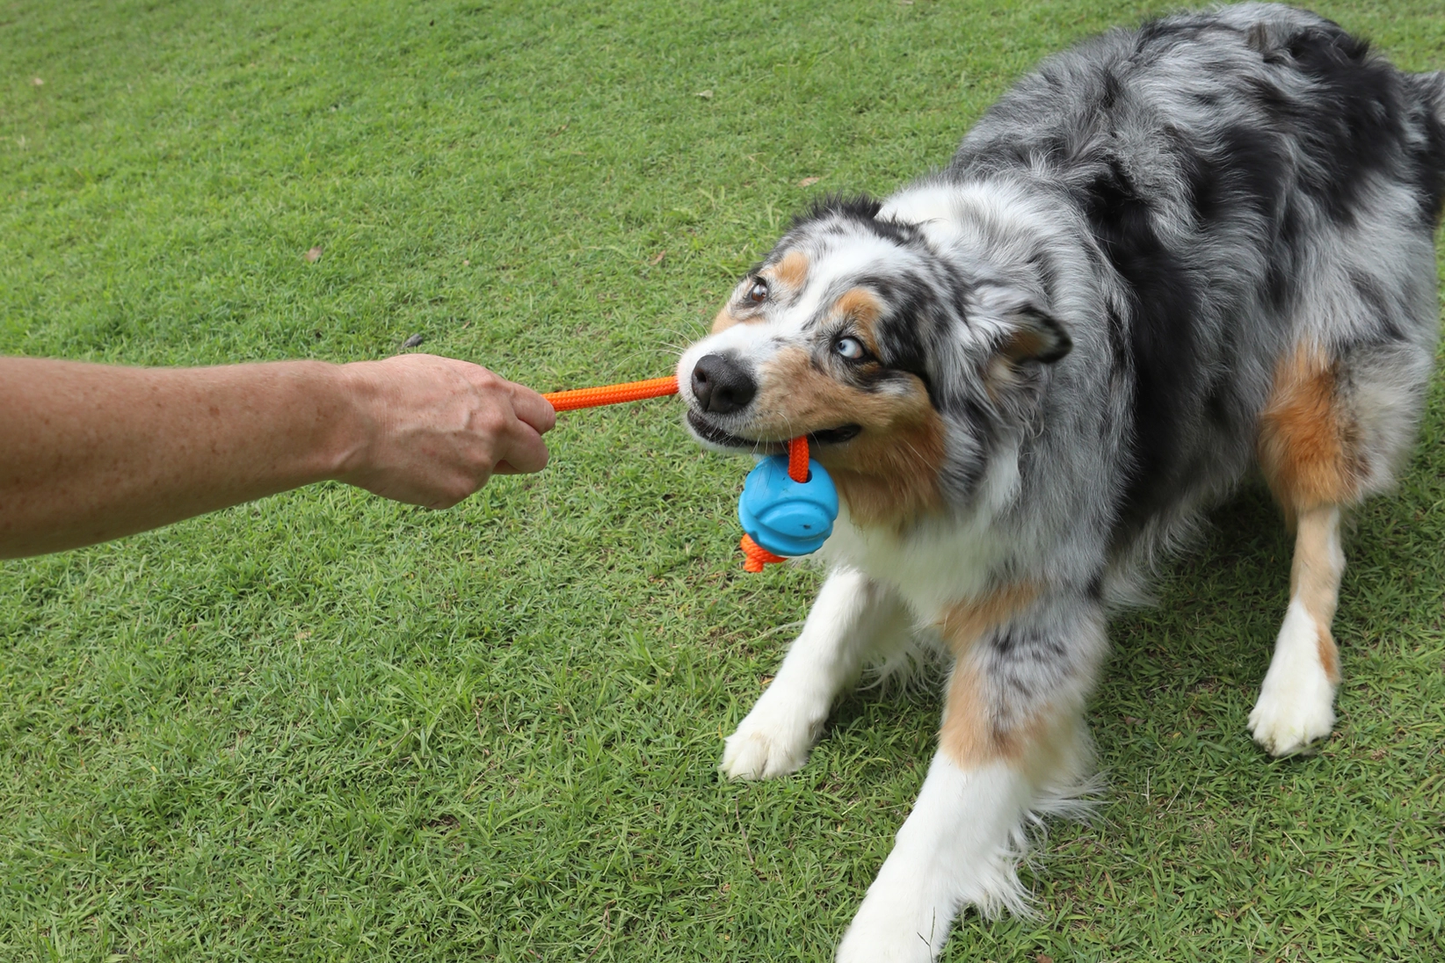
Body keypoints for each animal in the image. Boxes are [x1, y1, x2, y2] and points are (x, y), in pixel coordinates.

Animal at [676, 3, 1445, 954]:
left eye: (854, 349)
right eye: (757, 290)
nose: (711, 376)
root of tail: (1368, 66)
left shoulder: (1032, 620)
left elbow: (945, 804)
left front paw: (883, 930)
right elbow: (838, 608)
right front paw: (775, 720)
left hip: (1321, 357)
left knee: (1321, 522)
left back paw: (1295, 681)